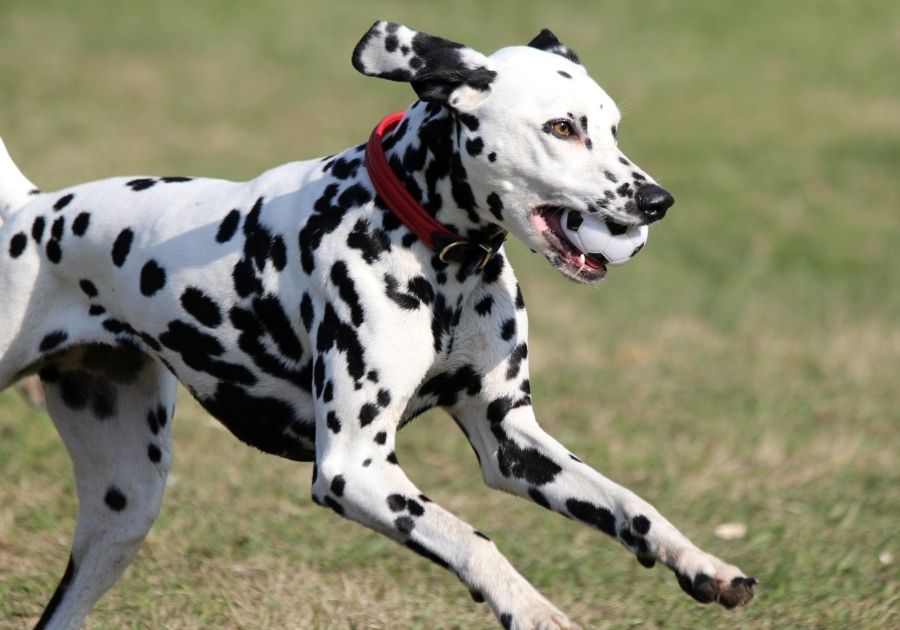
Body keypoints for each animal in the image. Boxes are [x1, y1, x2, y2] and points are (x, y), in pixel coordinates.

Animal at [0, 21, 756, 630]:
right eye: (562, 128)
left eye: (614, 126)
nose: (657, 200)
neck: (437, 254)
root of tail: (32, 210)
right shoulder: (355, 468)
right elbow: (475, 540)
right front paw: (533, 609)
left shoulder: (512, 442)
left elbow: (628, 503)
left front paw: (701, 562)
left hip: (123, 513)